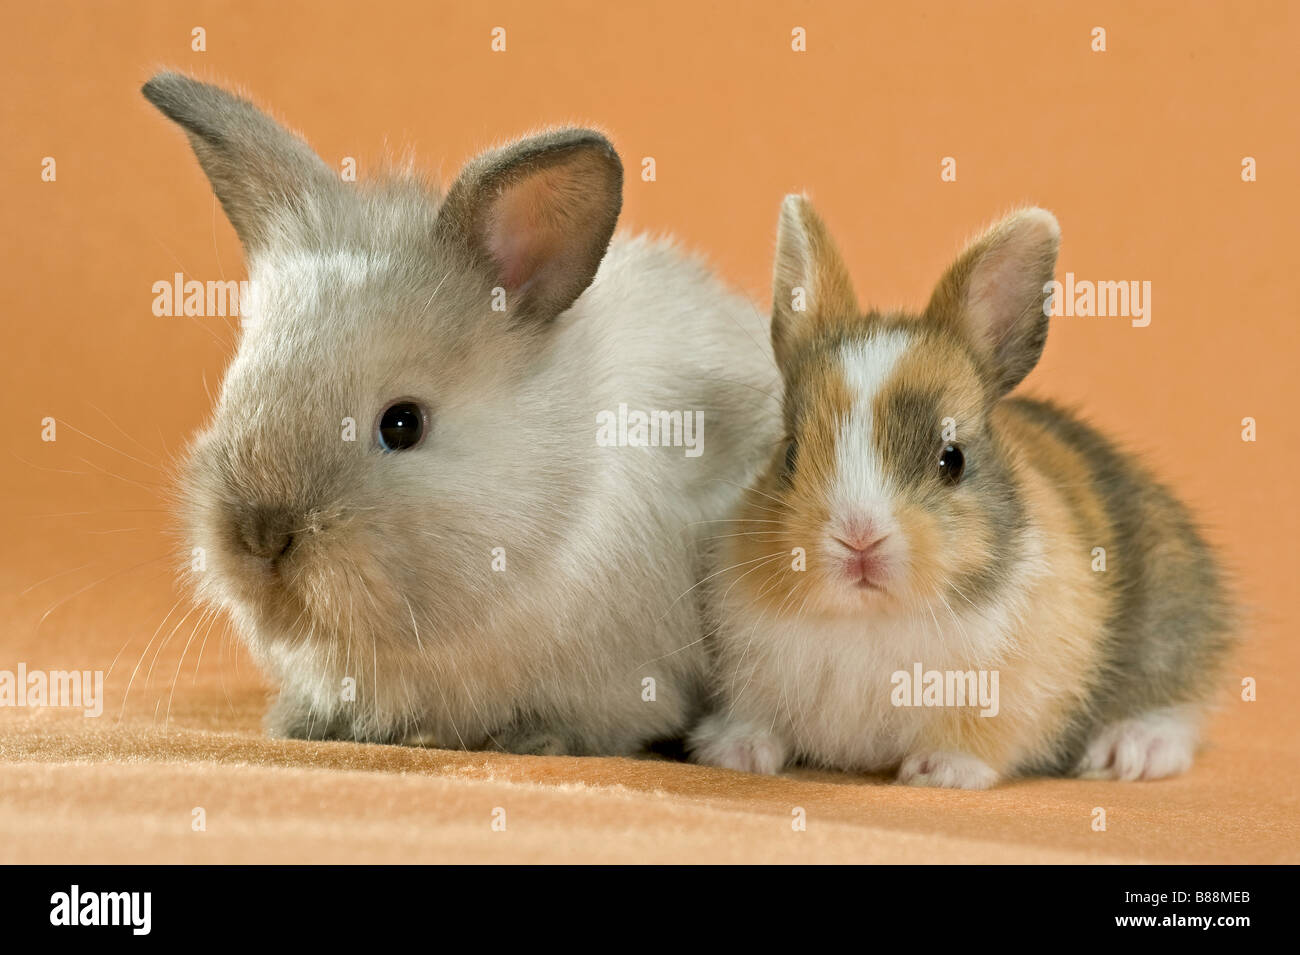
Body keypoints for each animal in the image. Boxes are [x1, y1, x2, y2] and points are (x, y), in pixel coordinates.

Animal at [688, 195, 1234, 788]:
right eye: (788, 454)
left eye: (953, 460)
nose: (859, 539)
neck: (870, 618)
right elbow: (756, 716)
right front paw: (734, 751)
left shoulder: (1010, 696)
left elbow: (981, 735)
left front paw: (940, 770)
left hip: (1172, 622)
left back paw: (1130, 752)